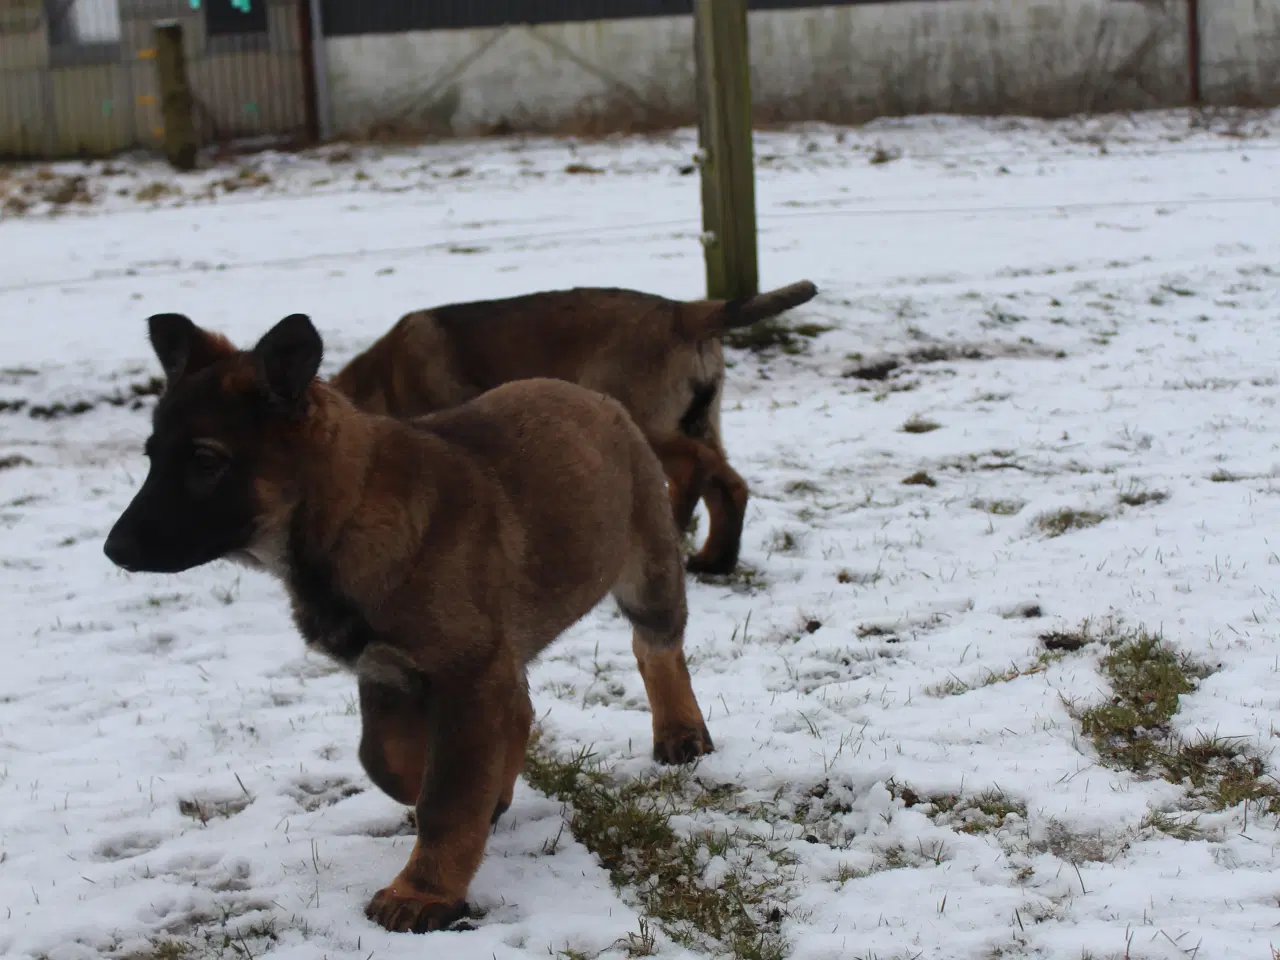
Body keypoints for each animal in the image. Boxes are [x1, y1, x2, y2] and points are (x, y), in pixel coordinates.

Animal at [104, 312, 716, 936]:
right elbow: (388, 761)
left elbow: (447, 794)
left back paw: (680, 732)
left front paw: (424, 892)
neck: (346, 512)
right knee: (521, 703)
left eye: (206, 462)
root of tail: (597, 399)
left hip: (647, 574)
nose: (113, 550)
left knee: (656, 649)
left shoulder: (467, 672)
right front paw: (468, 797)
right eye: (153, 457)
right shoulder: (388, 672)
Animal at [330, 281, 819, 576]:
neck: (382, 377)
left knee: (691, 473)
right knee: (728, 485)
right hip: (701, 422)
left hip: (644, 423)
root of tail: (683, 313)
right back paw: (715, 560)